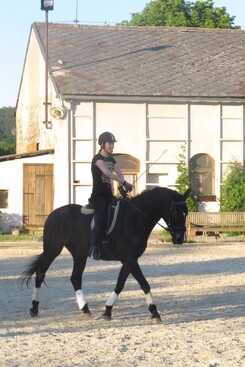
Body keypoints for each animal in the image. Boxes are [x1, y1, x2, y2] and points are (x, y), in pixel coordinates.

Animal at [20, 188, 189, 320]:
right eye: (176, 213)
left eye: (186, 213)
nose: (180, 239)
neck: (135, 219)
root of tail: (54, 213)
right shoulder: (130, 259)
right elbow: (144, 283)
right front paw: (155, 312)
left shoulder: (129, 260)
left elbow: (120, 284)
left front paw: (108, 310)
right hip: (53, 249)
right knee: (41, 273)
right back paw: (34, 308)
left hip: (79, 254)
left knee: (75, 278)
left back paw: (85, 309)